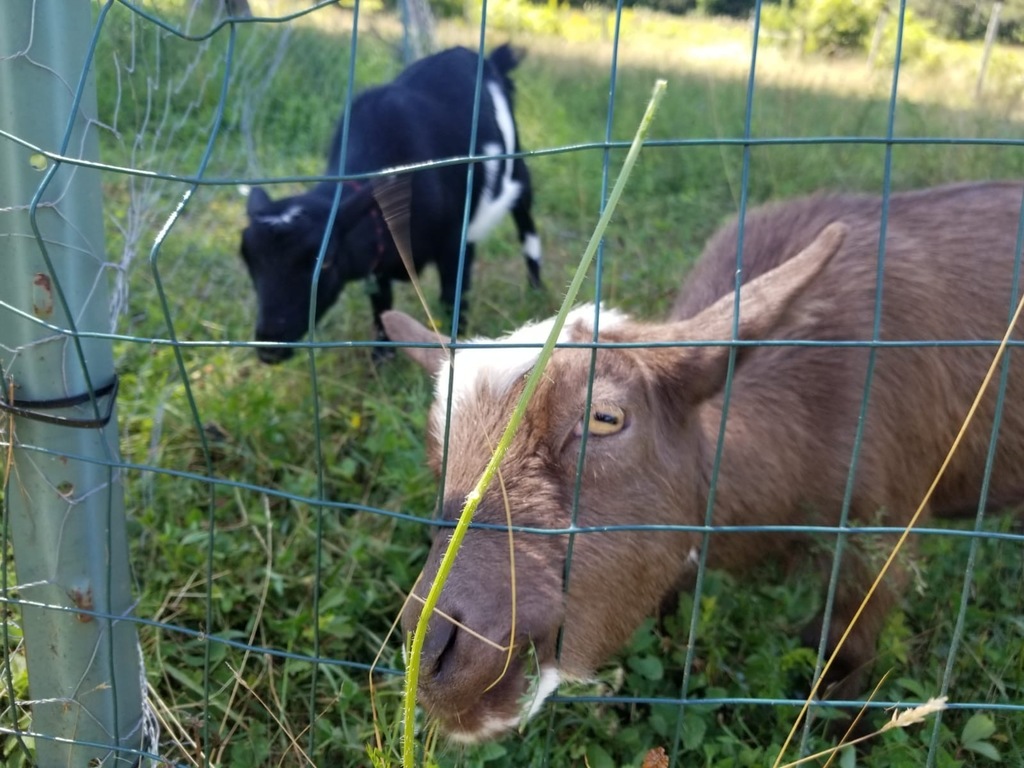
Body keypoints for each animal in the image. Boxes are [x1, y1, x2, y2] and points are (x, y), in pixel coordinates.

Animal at [239, 44, 540, 364]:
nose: (269, 347)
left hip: (518, 168)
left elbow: (451, 299)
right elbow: (382, 305)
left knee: (526, 224)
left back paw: (536, 288)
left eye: (327, 261)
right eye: (248, 259)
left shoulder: (452, 243)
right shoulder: (379, 260)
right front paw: (382, 358)